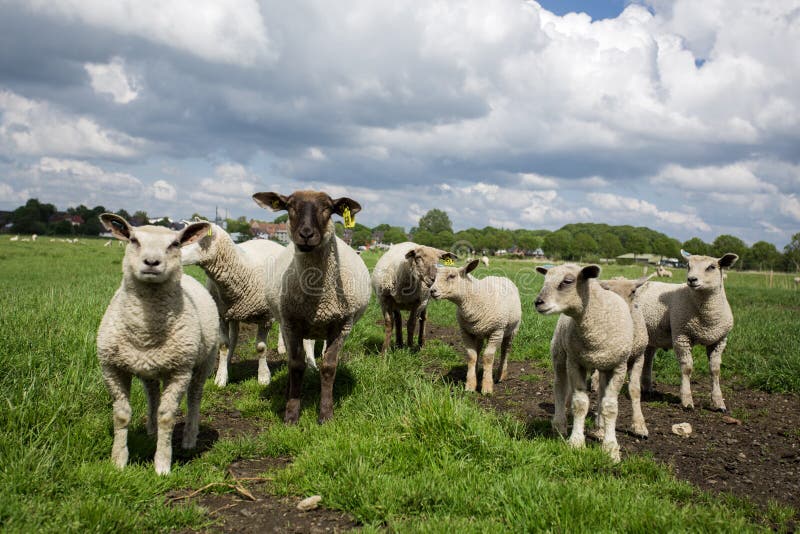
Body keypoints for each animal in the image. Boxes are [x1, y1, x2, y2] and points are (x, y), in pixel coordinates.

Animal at [96, 214, 218, 475]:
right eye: (133, 240)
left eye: (174, 244)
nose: (152, 262)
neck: (145, 332)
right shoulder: (111, 368)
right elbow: (121, 415)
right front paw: (118, 461)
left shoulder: (179, 371)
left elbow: (167, 416)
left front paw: (162, 464)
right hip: (149, 367)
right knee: (152, 394)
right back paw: (151, 431)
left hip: (204, 361)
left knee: (194, 396)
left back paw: (189, 438)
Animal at [253, 190, 371, 424]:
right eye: (290, 206)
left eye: (327, 208)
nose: (306, 234)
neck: (318, 298)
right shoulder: (292, 323)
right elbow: (296, 365)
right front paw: (291, 414)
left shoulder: (342, 325)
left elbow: (328, 367)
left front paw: (326, 414)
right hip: (287, 324)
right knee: (291, 359)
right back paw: (287, 391)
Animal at [429, 259, 521, 395]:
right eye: (434, 277)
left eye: (452, 276)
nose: (432, 291)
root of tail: (499, 276)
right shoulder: (465, 331)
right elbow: (471, 356)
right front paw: (470, 385)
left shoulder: (497, 331)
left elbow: (488, 357)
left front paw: (487, 387)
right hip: (478, 332)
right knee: (478, 349)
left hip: (511, 330)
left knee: (505, 350)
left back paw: (500, 375)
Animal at [534, 264, 634, 462]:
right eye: (545, 280)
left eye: (567, 281)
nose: (538, 302)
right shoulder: (575, 362)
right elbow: (580, 403)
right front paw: (576, 442)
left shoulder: (619, 366)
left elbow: (610, 406)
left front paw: (610, 447)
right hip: (560, 353)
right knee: (560, 386)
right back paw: (559, 424)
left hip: (602, 365)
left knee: (601, 393)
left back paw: (600, 428)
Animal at [638, 250, 738, 411]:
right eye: (688, 266)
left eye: (711, 267)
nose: (691, 279)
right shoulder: (681, 336)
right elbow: (687, 368)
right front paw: (687, 401)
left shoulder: (719, 340)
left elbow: (715, 370)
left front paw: (718, 403)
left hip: (652, 335)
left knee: (648, 358)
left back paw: (647, 389)